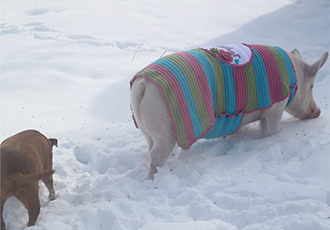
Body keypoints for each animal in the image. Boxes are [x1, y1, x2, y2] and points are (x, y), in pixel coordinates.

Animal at [130, 43, 328, 180]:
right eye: (311, 86)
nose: (318, 112)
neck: (293, 76)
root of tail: (143, 84)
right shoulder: (275, 108)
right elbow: (269, 131)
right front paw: (270, 138)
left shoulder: (235, 117)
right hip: (166, 128)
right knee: (156, 154)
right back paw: (153, 180)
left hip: (148, 127)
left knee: (150, 146)